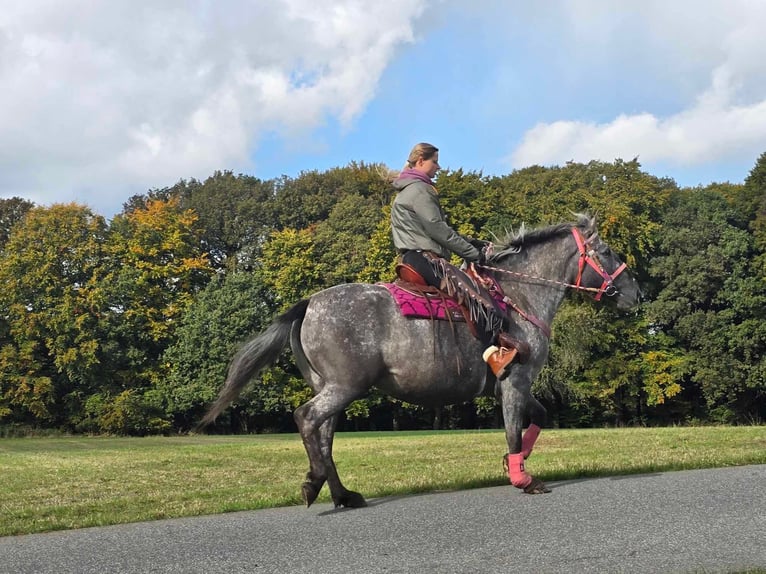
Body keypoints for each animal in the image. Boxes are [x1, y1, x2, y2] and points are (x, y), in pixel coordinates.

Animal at [200, 215, 640, 508]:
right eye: (607, 251)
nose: (636, 294)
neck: (517, 297)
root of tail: (309, 303)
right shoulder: (516, 381)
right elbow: (515, 431)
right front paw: (523, 477)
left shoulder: (515, 386)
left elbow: (539, 418)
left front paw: (515, 465)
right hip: (344, 386)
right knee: (307, 419)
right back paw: (316, 482)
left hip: (331, 387)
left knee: (323, 435)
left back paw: (342, 494)